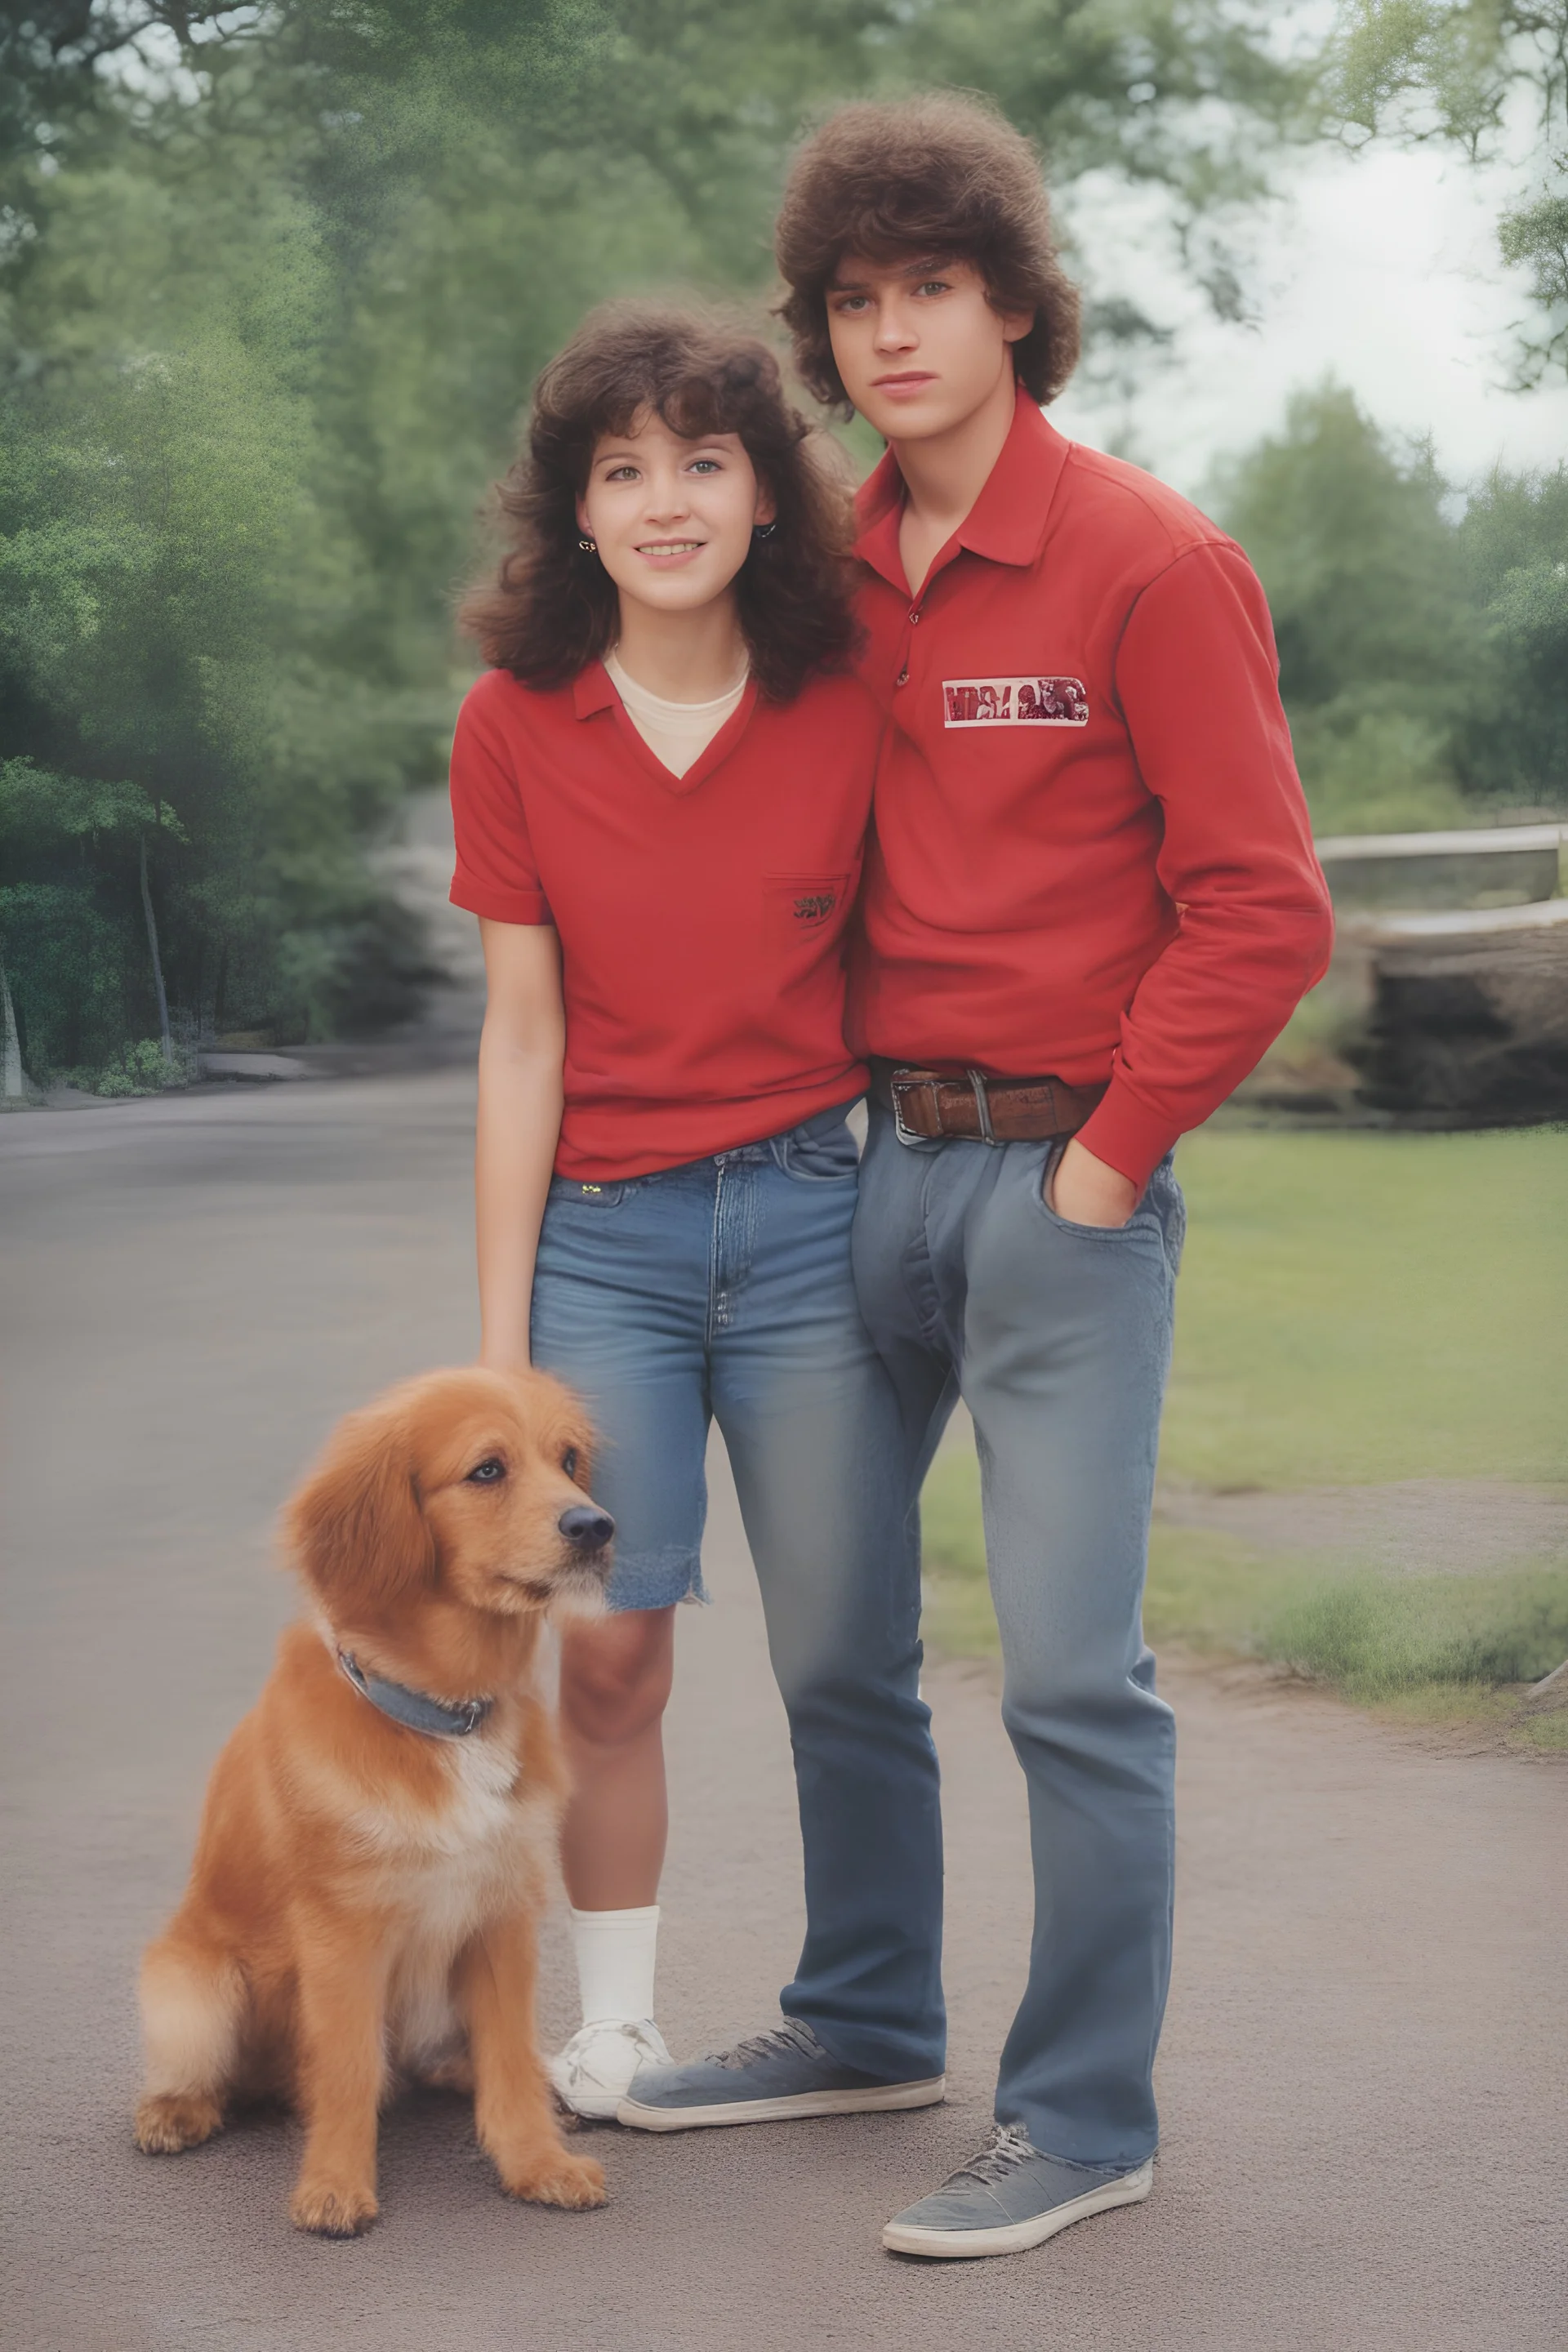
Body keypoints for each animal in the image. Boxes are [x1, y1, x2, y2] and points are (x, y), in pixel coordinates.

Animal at [136, 1373, 611, 2230]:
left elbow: (508, 2060)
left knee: (470, 2058)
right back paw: (176, 2110)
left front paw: (536, 2164)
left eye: (569, 1461)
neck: (446, 1718)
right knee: (213, 2071)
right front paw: (334, 2185)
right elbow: (350, 2069)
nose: (596, 1525)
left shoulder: (502, 1915)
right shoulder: (342, 1932)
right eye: (487, 1470)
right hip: (192, 1986)